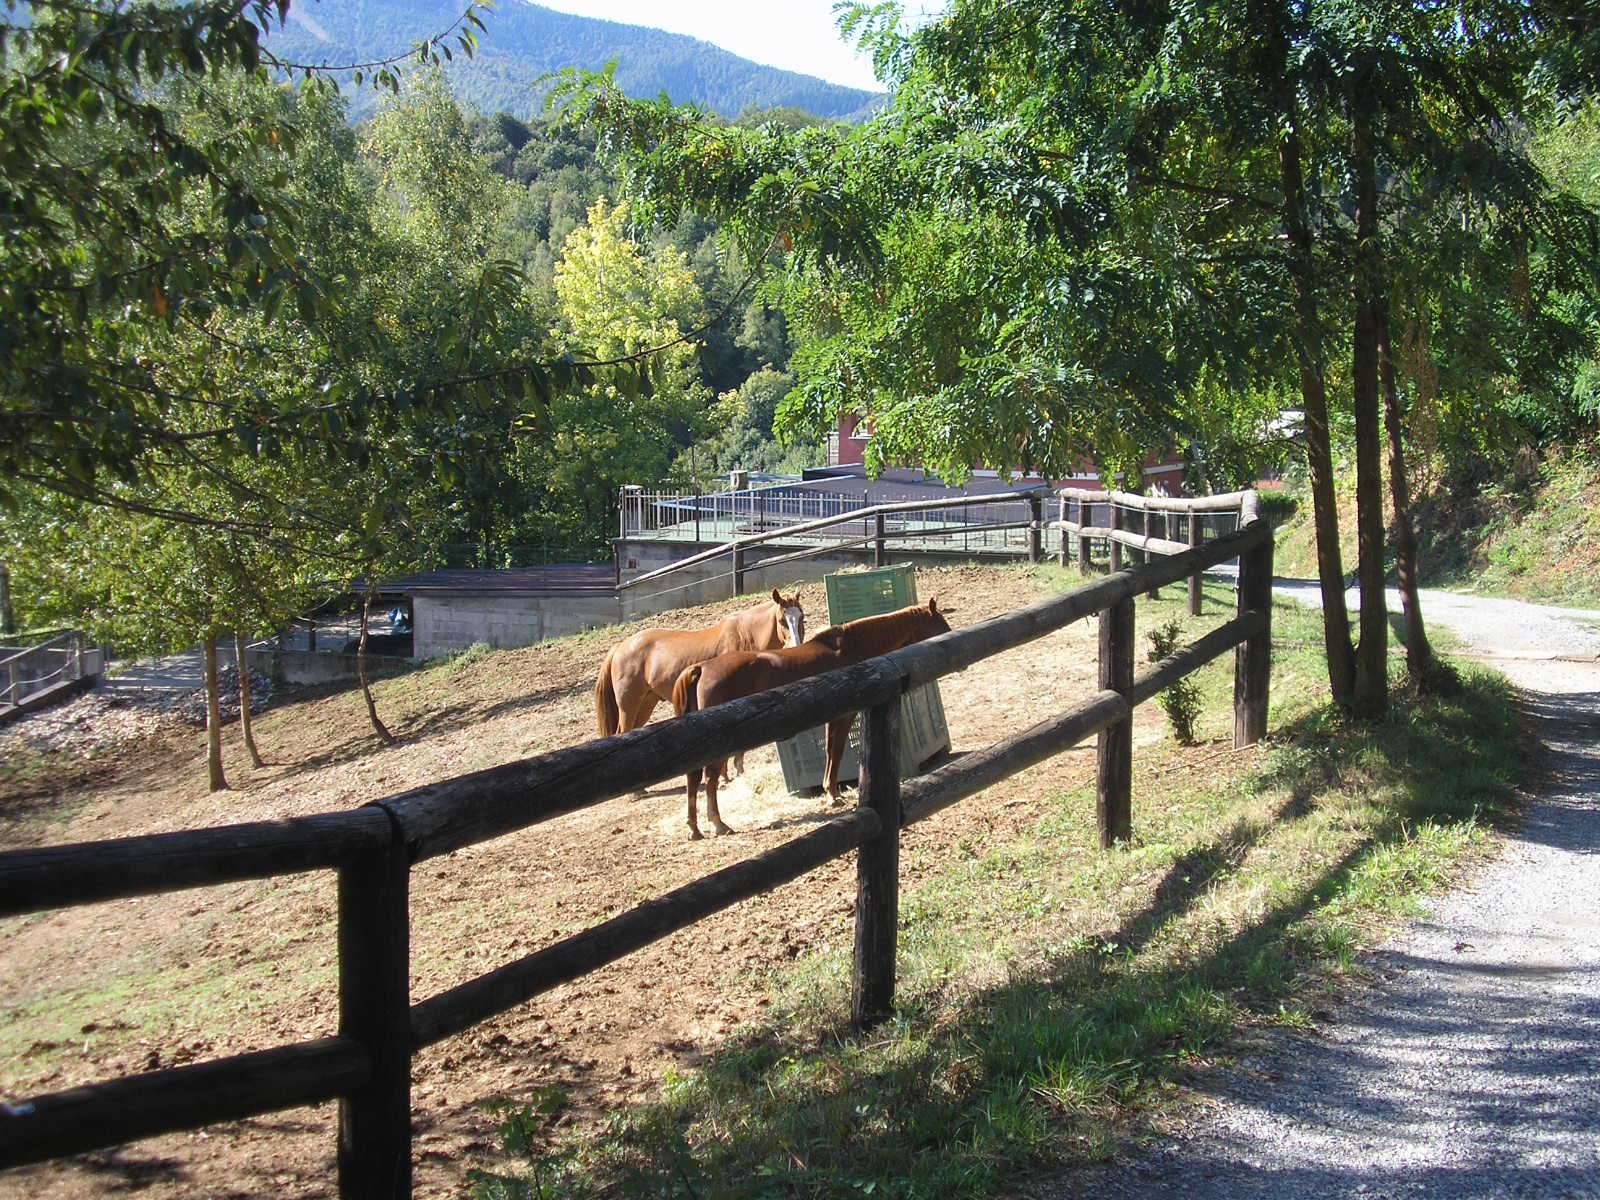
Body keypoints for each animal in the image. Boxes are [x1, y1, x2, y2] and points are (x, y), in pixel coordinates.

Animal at [594, 588, 804, 752]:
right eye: (781, 620)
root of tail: (619, 648)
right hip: (628, 705)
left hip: (646, 703)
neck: (745, 636)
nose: (796, 645)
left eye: (802, 617)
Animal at [670, 599, 952, 839]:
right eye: (941, 624)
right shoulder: (845, 716)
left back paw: (694, 828)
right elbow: (836, 751)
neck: (850, 650)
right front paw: (833, 794)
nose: (951, 635)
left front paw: (831, 792)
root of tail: (702, 668)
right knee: (710, 779)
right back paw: (718, 823)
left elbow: (830, 751)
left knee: (693, 780)